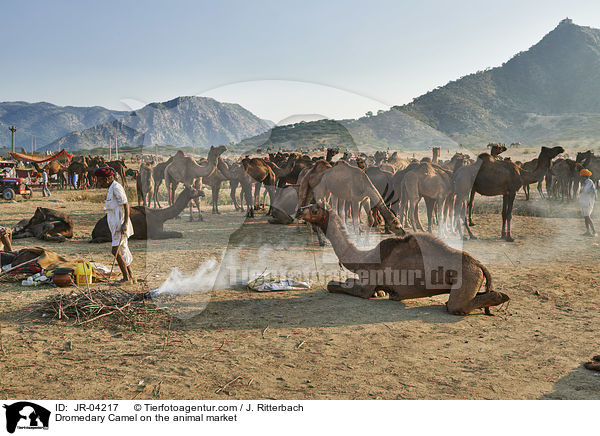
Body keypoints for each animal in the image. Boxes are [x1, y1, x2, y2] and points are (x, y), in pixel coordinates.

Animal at [298, 203, 508, 316]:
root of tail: (479, 264)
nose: (300, 209)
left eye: (315, 209)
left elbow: (332, 285)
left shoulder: (366, 284)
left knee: (456, 305)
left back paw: (501, 297)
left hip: (468, 277)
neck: (363, 257)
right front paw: (381, 293)